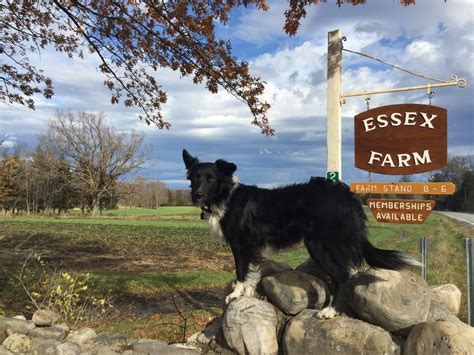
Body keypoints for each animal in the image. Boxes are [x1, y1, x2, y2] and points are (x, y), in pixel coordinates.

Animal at [183, 149, 416, 318]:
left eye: (211, 179)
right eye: (195, 178)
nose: (197, 195)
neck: (226, 197)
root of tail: (348, 196)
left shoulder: (241, 245)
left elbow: (241, 271)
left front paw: (236, 294)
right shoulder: (252, 247)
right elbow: (252, 273)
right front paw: (249, 295)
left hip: (320, 246)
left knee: (343, 276)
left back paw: (330, 311)